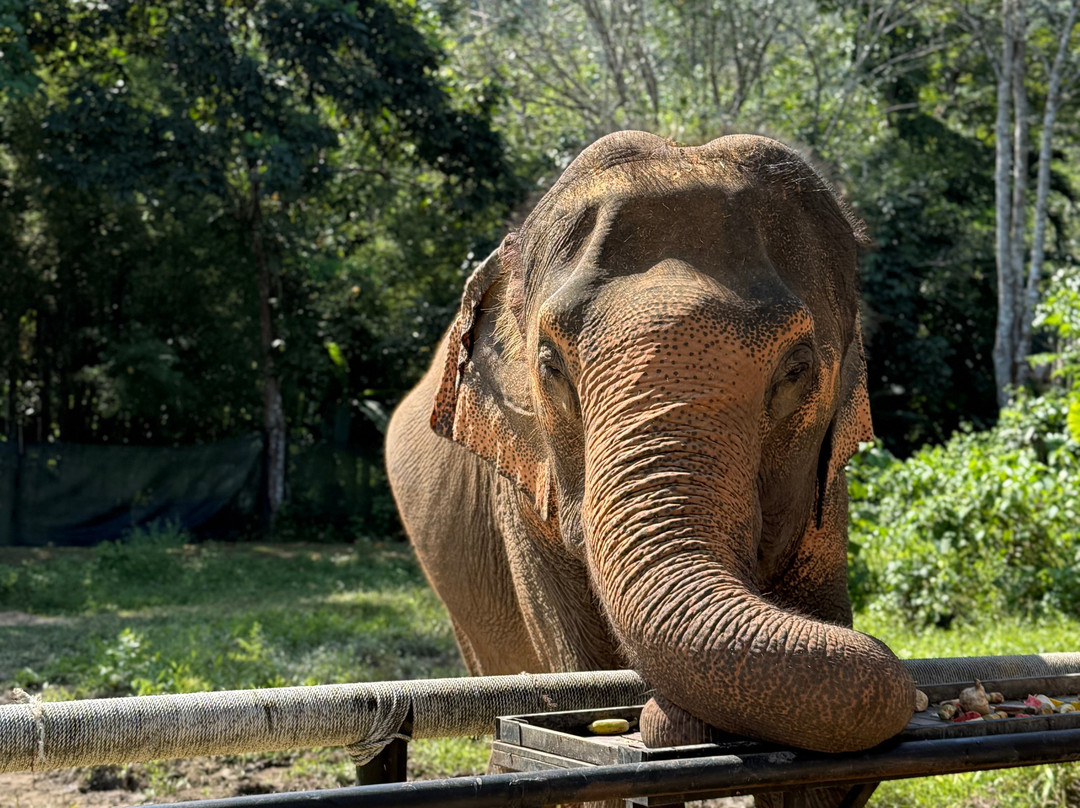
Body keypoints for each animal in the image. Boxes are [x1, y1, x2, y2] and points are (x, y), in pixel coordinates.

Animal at [386, 131, 916, 775]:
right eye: (549, 366)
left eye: (797, 370)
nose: (663, 716)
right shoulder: (523, 499)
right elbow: (581, 669)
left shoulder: (826, 492)